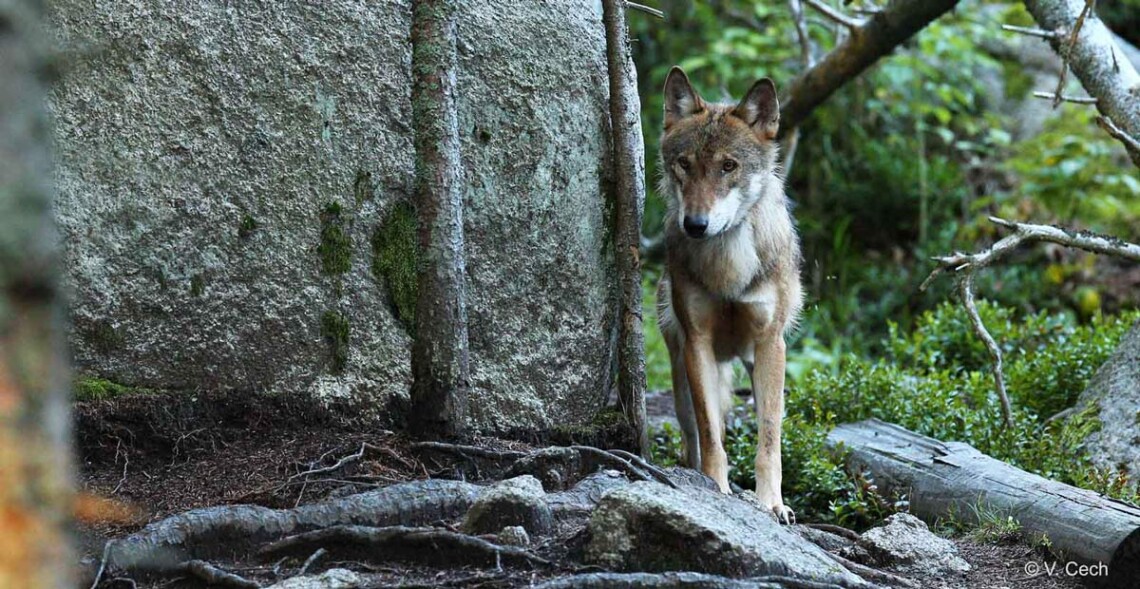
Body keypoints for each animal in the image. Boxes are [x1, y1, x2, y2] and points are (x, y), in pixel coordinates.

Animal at [656, 66, 807, 521]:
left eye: (728, 166)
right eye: (684, 165)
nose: (695, 225)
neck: (728, 267)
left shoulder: (770, 343)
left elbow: (769, 439)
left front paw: (772, 504)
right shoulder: (698, 342)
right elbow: (711, 435)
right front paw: (715, 488)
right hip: (680, 376)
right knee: (693, 433)